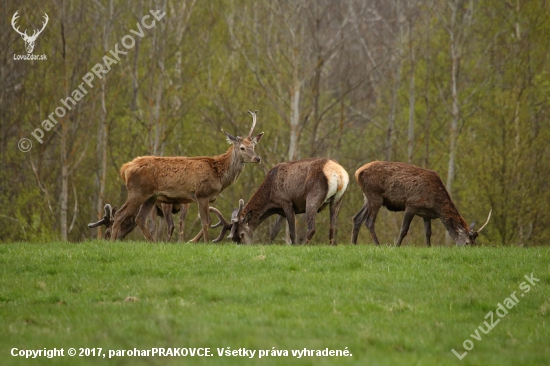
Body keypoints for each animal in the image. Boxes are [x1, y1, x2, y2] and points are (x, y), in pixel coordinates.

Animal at [110, 111, 266, 243]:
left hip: (151, 196)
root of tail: (125, 169)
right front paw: (205, 243)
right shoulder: (202, 194)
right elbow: (206, 222)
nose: (257, 158)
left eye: (253, 146)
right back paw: (112, 241)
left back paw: (153, 243)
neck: (220, 176)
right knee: (119, 214)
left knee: (140, 219)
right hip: (138, 191)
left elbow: (206, 221)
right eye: (242, 148)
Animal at [210, 159, 350, 244]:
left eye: (242, 234)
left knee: (312, 228)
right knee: (332, 227)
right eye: (233, 238)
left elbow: (292, 232)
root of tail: (340, 174)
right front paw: (269, 245)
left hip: (312, 197)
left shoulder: (286, 202)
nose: (244, 246)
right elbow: (274, 232)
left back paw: (303, 245)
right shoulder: (280, 211)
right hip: (338, 199)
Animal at [352, 162, 494, 246]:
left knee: (357, 218)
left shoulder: (426, 214)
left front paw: (429, 247)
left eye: (475, 243)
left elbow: (428, 232)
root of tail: (357, 172)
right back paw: (378, 245)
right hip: (375, 196)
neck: (436, 206)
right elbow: (403, 230)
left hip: (367, 198)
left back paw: (353, 244)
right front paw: (397, 246)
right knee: (369, 222)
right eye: (467, 243)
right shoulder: (411, 205)